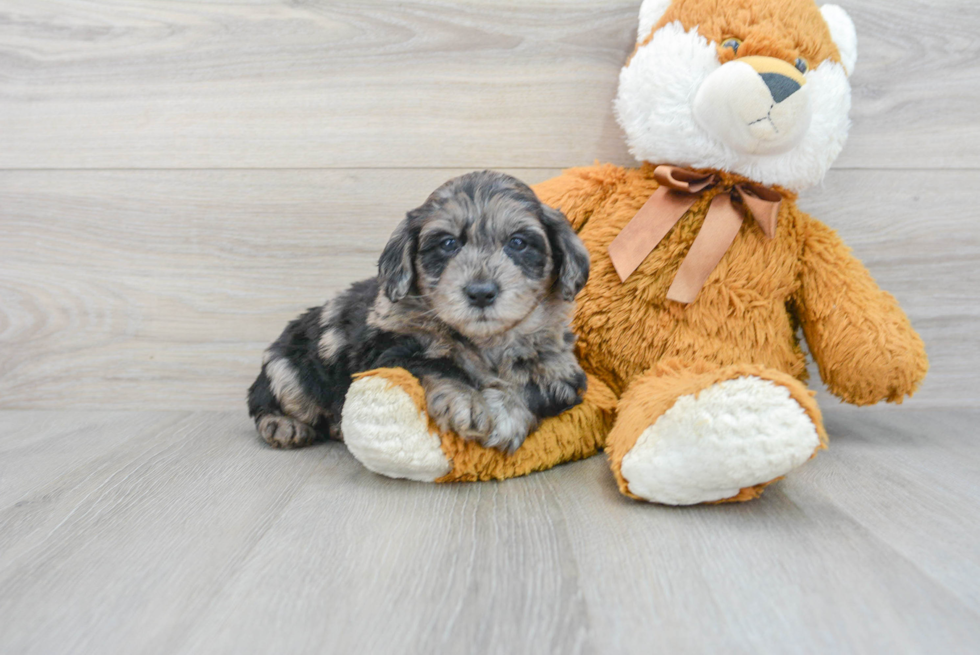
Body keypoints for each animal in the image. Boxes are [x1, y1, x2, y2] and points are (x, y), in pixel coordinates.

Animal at [249, 172, 592, 454]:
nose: (481, 292)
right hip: (287, 372)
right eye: (448, 243)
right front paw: (466, 401)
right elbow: (435, 366)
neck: (485, 342)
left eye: (518, 243)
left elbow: (532, 388)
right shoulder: (388, 353)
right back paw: (283, 425)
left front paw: (505, 413)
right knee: (264, 400)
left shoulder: (562, 373)